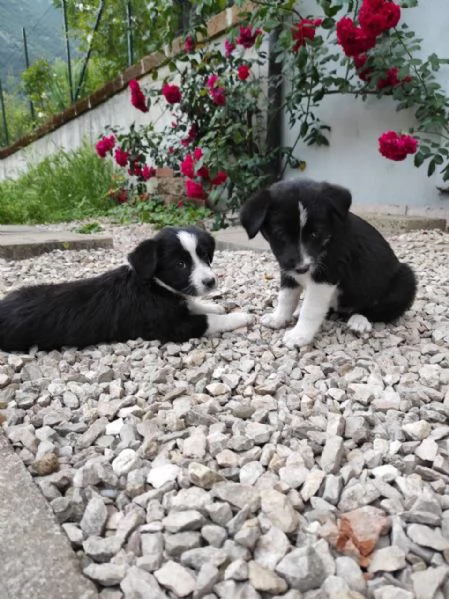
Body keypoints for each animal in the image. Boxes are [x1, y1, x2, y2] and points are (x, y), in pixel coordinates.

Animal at [0, 227, 252, 354]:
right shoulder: (172, 327)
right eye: (181, 264)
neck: (153, 286)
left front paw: (213, 304)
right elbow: (209, 320)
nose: (211, 282)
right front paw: (240, 316)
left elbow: (193, 303)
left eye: (204, 255)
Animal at [242, 176, 416, 350]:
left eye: (315, 234)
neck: (327, 238)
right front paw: (278, 318)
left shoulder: (326, 275)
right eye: (280, 234)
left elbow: (310, 309)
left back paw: (359, 320)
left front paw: (299, 335)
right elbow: (286, 297)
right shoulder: (287, 270)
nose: (303, 268)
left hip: (405, 280)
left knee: (378, 311)